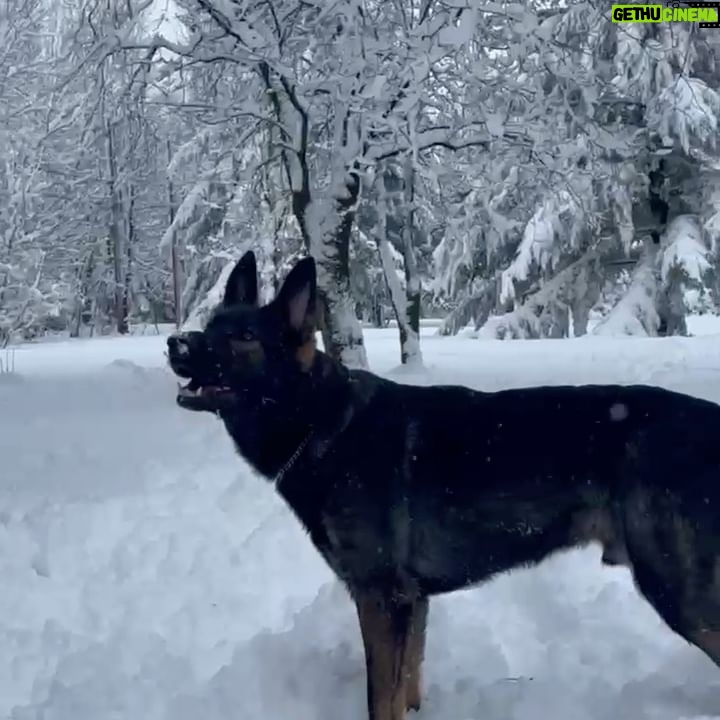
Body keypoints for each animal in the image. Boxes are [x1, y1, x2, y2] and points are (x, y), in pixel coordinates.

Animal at [168, 251, 720, 720]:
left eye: (243, 336)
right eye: (210, 326)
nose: (176, 343)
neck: (322, 421)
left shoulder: (381, 599)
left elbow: (380, 699)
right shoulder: (413, 603)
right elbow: (407, 686)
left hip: (678, 591)